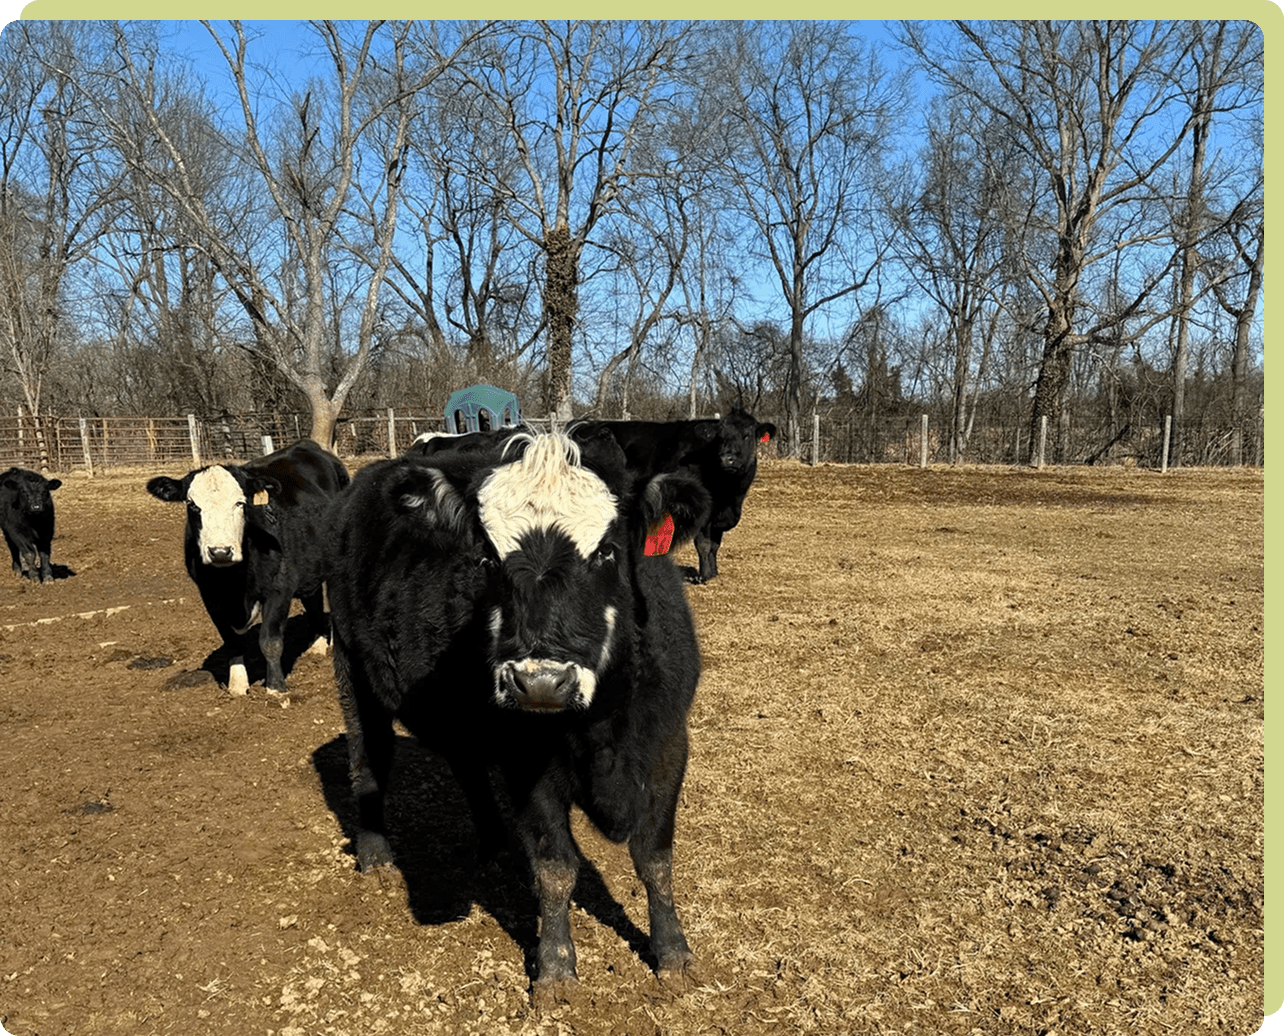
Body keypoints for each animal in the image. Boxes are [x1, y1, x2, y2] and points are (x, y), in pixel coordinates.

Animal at [146, 439, 350, 697]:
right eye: (192, 505)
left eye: (240, 503)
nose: (220, 551)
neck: (232, 582)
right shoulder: (210, 597)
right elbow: (231, 641)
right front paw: (237, 686)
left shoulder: (279, 588)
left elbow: (270, 641)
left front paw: (275, 688)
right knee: (312, 600)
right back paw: (317, 646)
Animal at [326, 428, 711, 1002]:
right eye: (487, 558)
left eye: (607, 550)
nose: (541, 681)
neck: (604, 725)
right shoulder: (529, 763)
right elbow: (555, 867)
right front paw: (555, 969)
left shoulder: (668, 743)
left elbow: (655, 858)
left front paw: (674, 953)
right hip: (352, 668)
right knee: (369, 755)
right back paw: (375, 854)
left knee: (465, 762)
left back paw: (495, 842)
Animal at [571, 407, 776, 583]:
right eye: (720, 437)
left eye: (747, 435)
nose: (728, 459)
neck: (729, 494)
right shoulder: (703, 511)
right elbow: (704, 544)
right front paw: (704, 576)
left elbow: (715, 545)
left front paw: (714, 572)